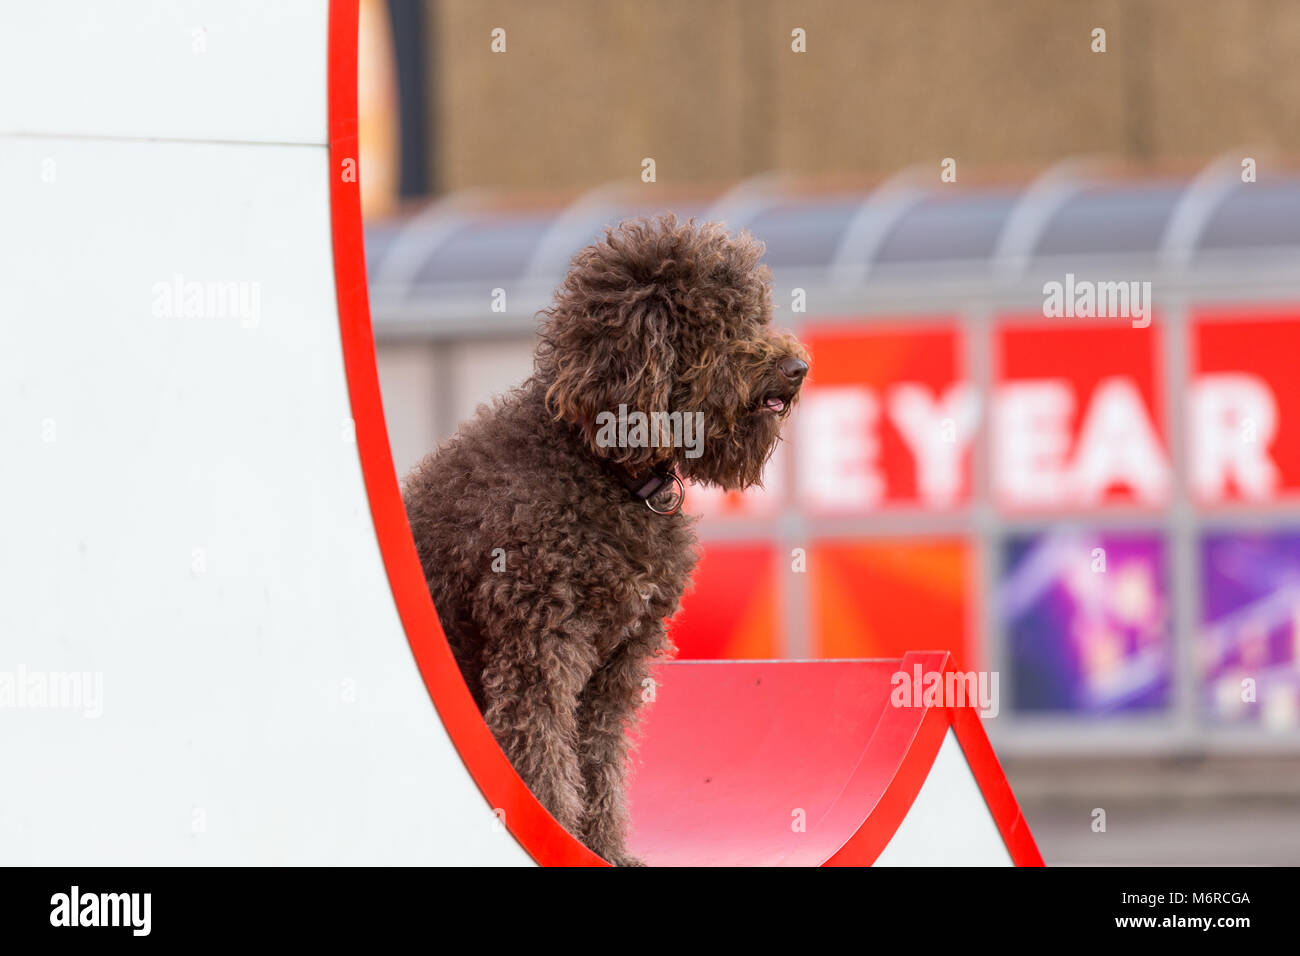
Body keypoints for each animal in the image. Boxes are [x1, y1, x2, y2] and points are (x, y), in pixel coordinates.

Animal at [405, 217, 806, 868]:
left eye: (755, 313)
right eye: (717, 323)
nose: (797, 367)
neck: (603, 469)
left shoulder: (615, 667)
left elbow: (597, 759)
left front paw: (603, 847)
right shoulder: (540, 651)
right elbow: (542, 756)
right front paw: (554, 835)